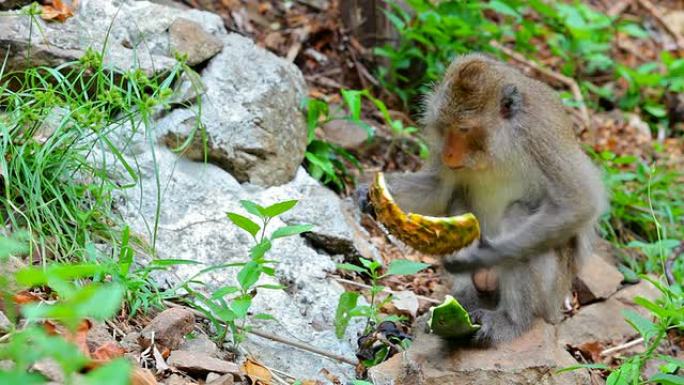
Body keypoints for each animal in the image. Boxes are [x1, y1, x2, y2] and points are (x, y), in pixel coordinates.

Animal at [366, 53, 608, 344]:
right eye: (446, 127)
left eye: (464, 129)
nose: (448, 154)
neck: (500, 144)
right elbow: (439, 187)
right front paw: (366, 197)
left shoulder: (539, 134)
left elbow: (577, 202)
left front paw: (481, 255)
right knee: (457, 199)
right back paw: (465, 300)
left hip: (550, 293)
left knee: (519, 214)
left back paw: (512, 320)